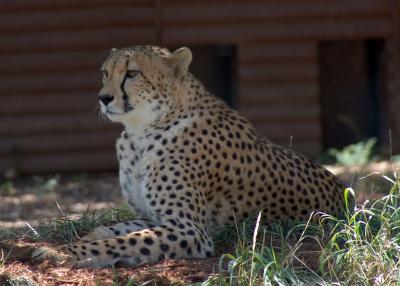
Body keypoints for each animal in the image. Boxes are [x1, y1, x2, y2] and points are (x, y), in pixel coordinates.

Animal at [32, 45, 346, 268]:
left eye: (132, 73)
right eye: (105, 73)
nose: (103, 98)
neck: (140, 133)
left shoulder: (189, 230)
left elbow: (119, 243)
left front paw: (67, 251)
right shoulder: (150, 217)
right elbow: (112, 230)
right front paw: (83, 238)